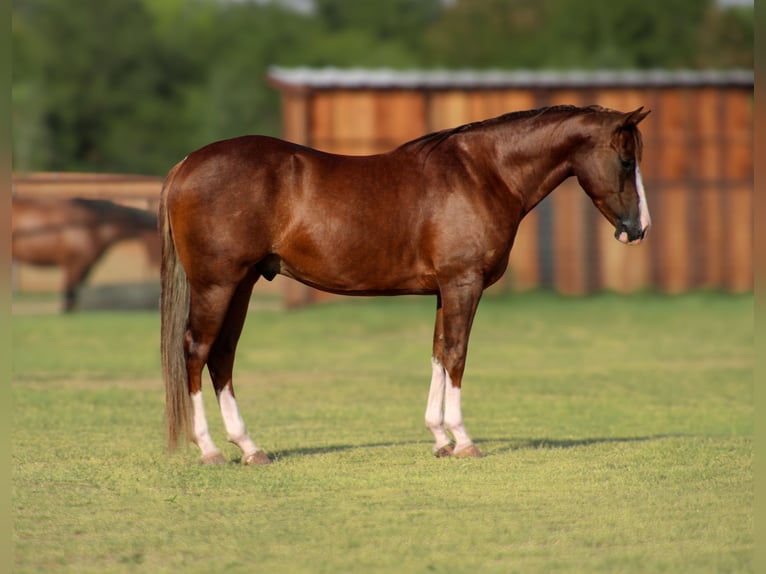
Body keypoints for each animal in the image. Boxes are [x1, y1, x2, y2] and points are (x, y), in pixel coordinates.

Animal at [162, 104, 656, 468]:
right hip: (217, 284)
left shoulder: (444, 290)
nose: (640, 229)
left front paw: (440, 438)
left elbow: (438, 353)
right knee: (197, 350)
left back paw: (249, 448)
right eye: (626, 160)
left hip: (241, 284)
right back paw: (209, 450)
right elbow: (457, 354)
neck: (484, 173)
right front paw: (463, 440)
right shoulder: (463, 284)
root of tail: (185, 164)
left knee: (223, 355)